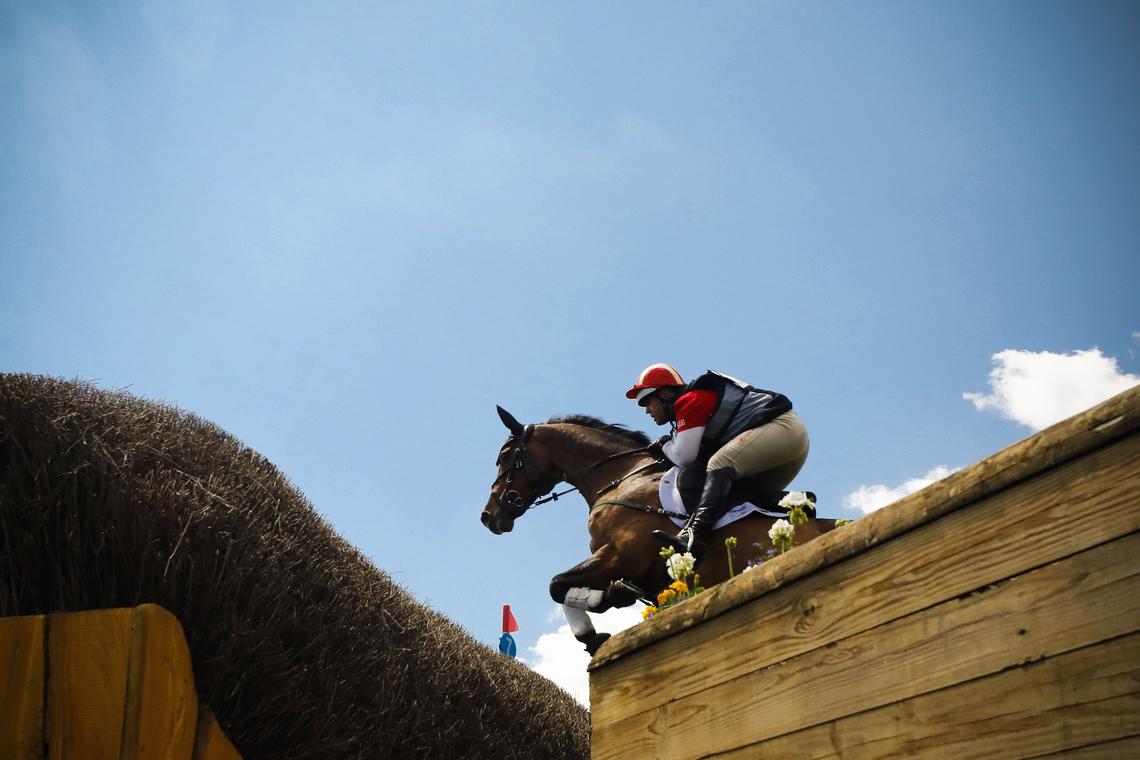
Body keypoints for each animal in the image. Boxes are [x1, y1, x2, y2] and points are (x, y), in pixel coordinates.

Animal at [480, 406, 838, 655]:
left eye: (504, 457)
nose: (488, 516)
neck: (622, 477)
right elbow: (561, 587)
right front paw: (594, 635)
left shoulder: (624, 555)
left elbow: (556, 585)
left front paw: (609, 599)